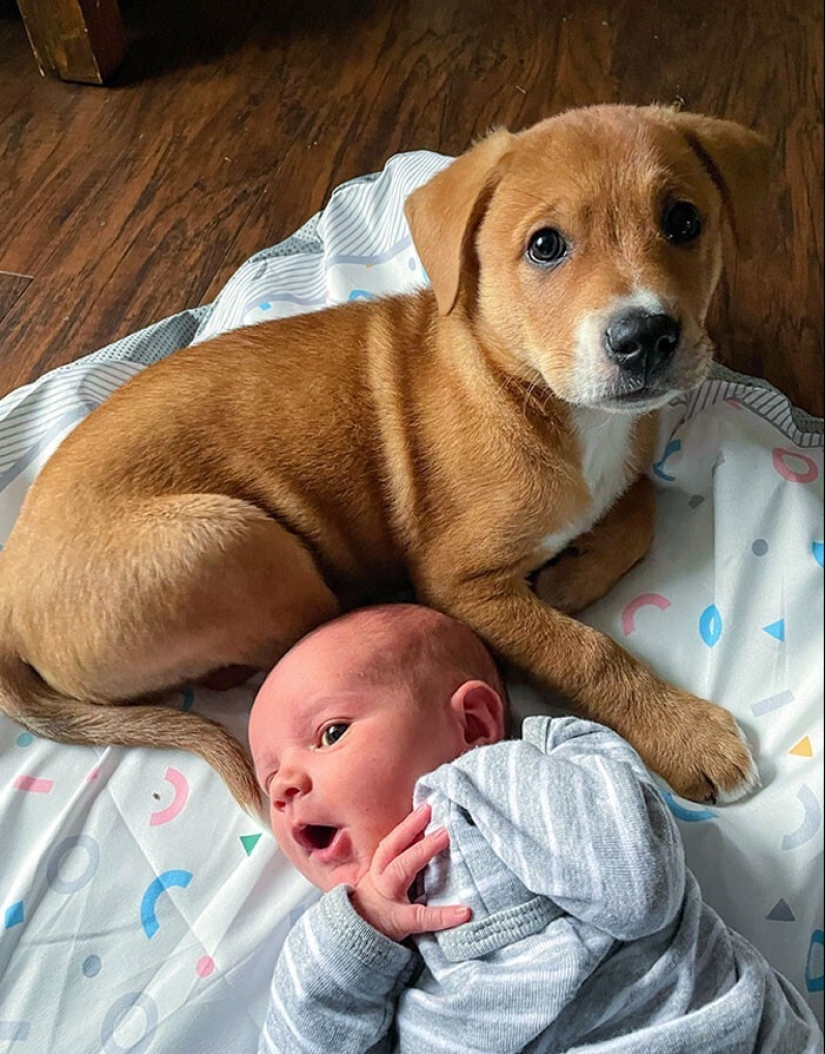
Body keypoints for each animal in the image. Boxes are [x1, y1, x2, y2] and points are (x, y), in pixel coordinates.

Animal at [0, 106, 767, 809]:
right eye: (545, 246)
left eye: (683, 222)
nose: (645, 337)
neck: (538, 396)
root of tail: (8, 605)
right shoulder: (459, 581)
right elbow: (584, 651)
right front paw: (686, 735)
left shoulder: (622, 462)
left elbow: (641, 507)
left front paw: (568, 578)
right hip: (229, 540)